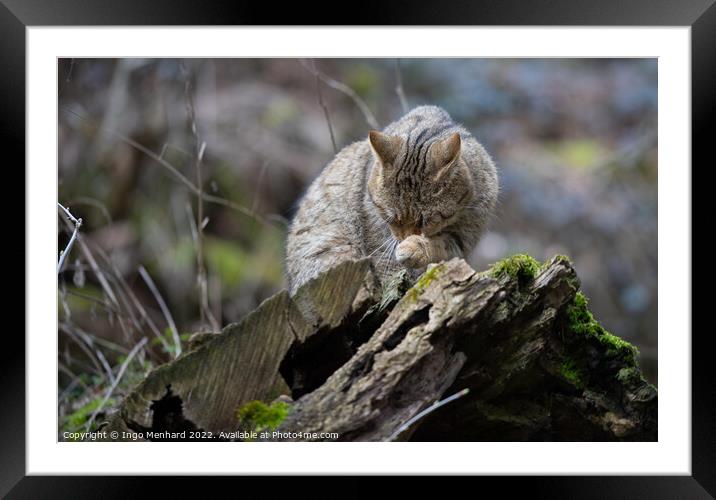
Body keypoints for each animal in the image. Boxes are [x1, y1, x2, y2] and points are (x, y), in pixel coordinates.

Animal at [286, 104, 498, 294]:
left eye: (426, 221)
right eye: (392, 219)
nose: (404, 237)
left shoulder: (464, 237)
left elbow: (441, 246)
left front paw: (414, 248)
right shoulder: (377, 240)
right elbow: (388, 268)